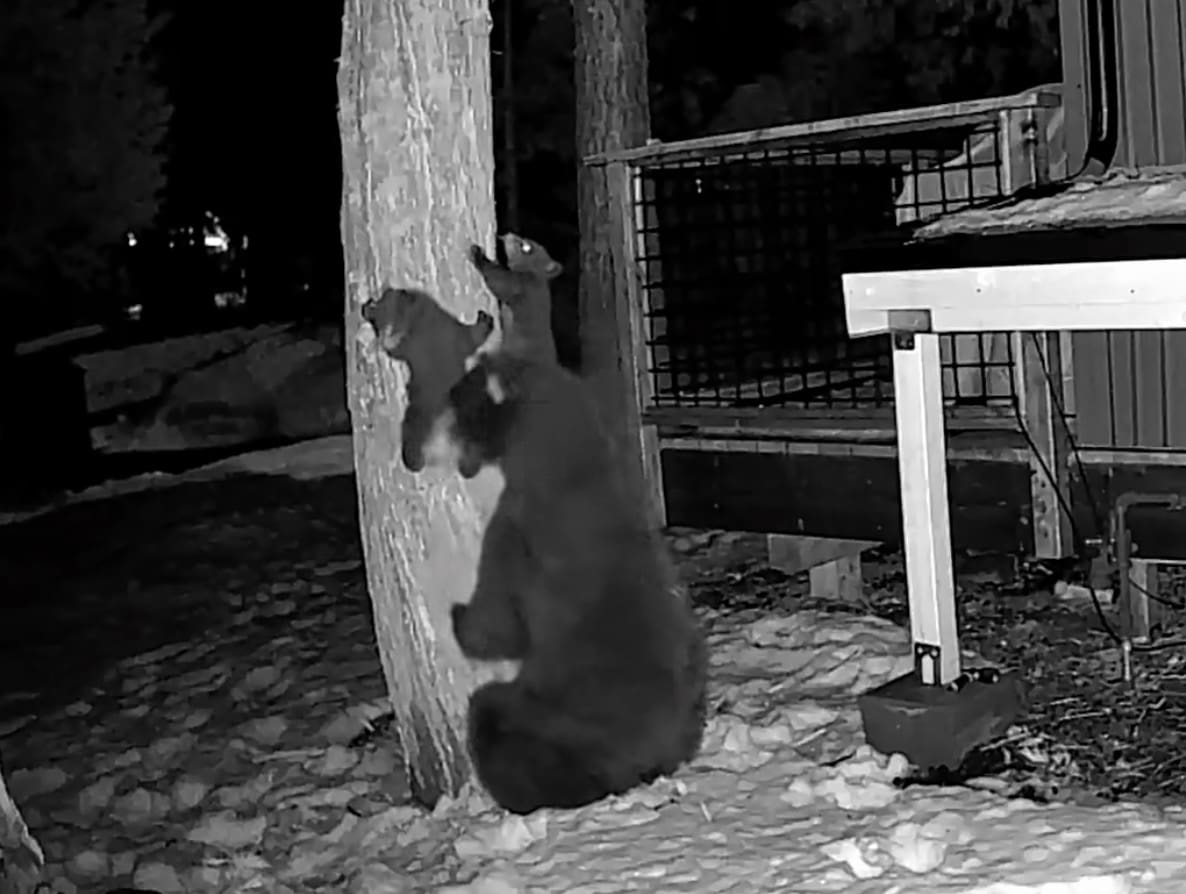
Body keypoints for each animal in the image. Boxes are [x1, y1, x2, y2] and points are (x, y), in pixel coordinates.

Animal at [360, 286, 494, 472]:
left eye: (386, 298)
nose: (367, 306)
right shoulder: (454, 330)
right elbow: (473, 338)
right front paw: (484, 321)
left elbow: (396, 351)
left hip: (417, 417)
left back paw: (413, 461)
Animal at [421, 350, 708, 814]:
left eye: (457, 401)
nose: (427, 444)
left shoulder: (515, 529)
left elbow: (494, 630)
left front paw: (444, 598)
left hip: (563, 725)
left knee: (493, 716)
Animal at [468, 233, 563, 364]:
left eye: (527, 247)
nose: (508, 234)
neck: (536, 274)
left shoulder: (518, 283)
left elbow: (498, 279)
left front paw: (477, 254)